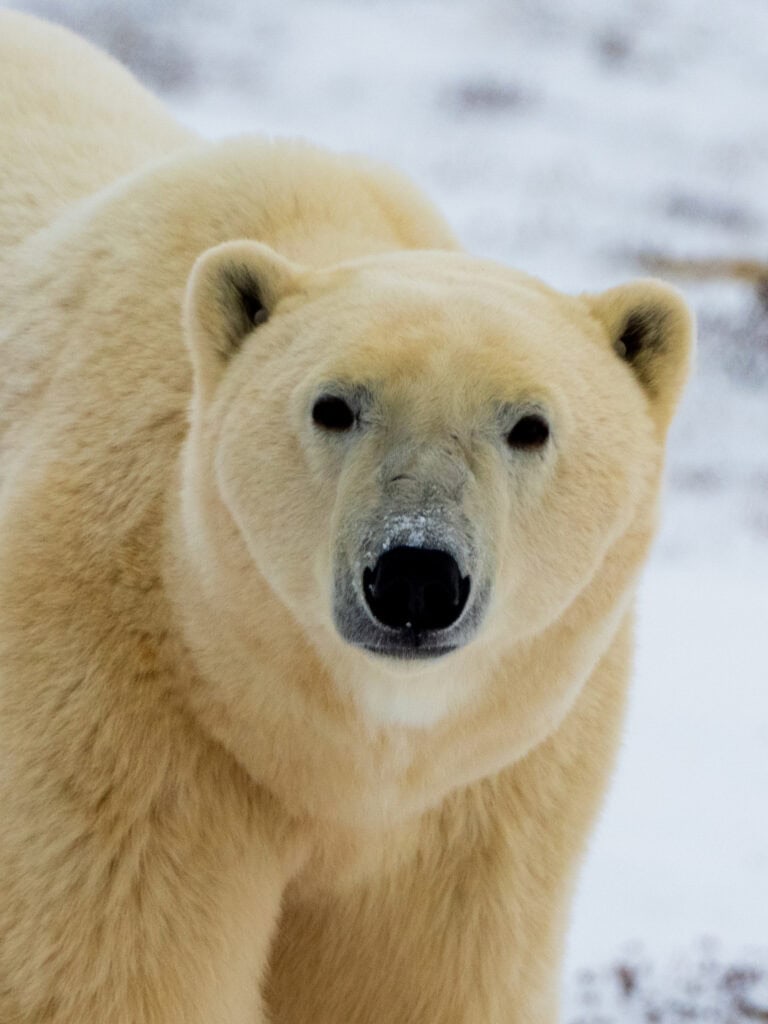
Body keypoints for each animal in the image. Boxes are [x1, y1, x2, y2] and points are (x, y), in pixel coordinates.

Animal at [0, 11, 693, 1024]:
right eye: (334, 406)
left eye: (530, 425)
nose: (416, 577)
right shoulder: (117, 717)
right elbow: (110, 965)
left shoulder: (486, 793)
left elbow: (420, 979)